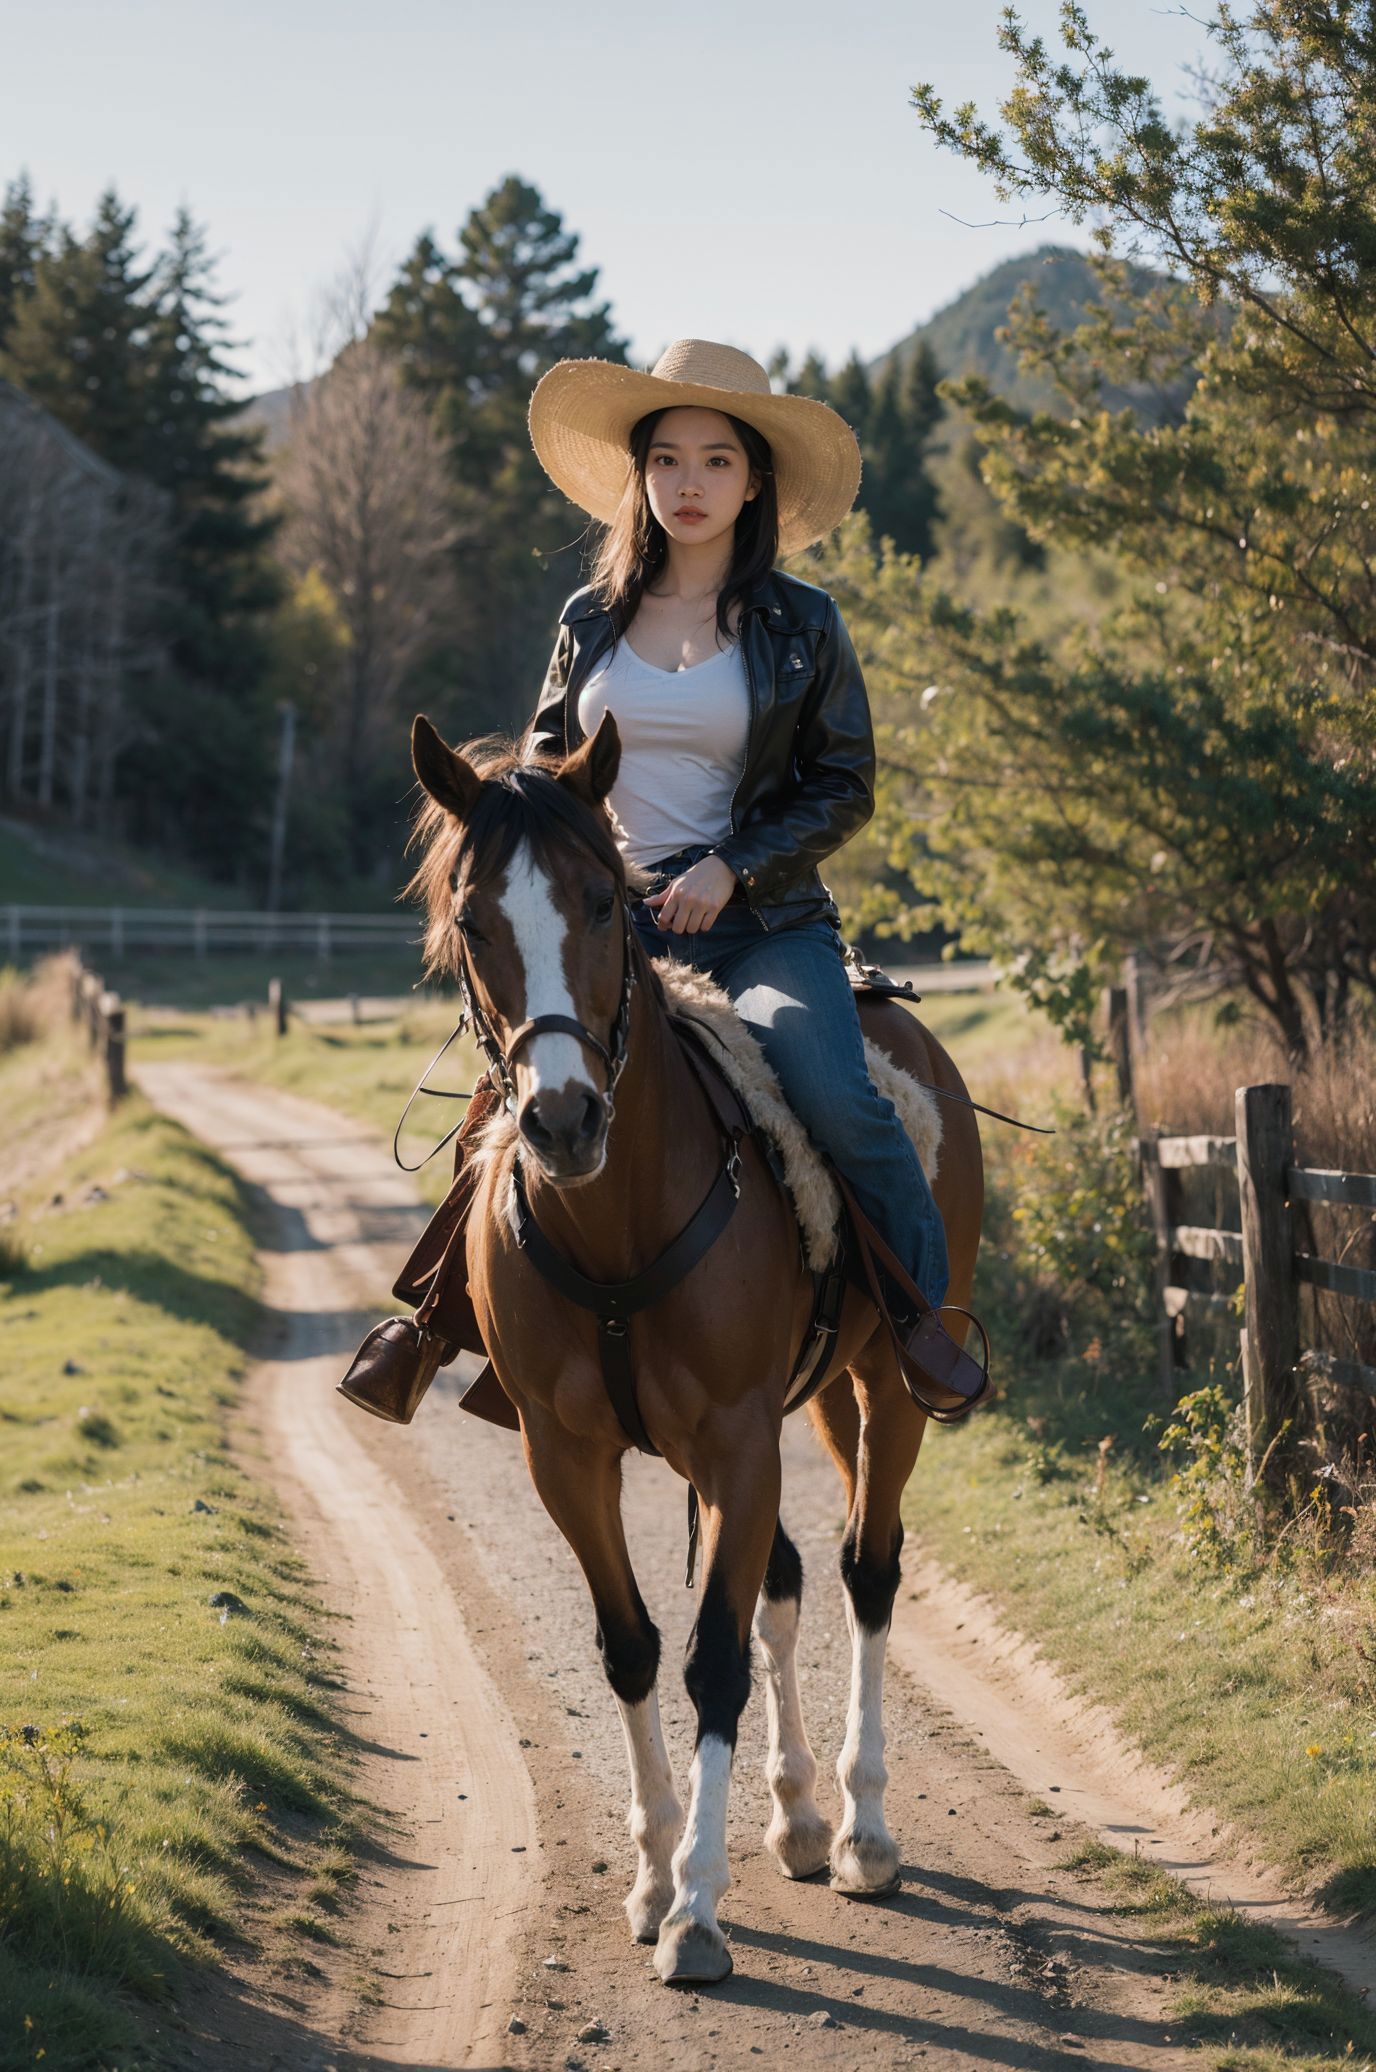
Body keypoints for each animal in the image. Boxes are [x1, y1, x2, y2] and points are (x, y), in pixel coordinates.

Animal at [410, 716, 990, 1989]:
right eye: (473, 920)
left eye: (600, 901)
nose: (561, 1120)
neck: (616, 1218)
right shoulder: (569, 1457)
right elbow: (631, 1647)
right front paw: (652, 1872)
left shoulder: (731, 1440)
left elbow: (711, 1659)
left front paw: (695, 1911)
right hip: (790, 1413)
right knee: (784, 1577)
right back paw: (798, 1812)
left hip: (883, 1386)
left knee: (865, 1569)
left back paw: (863, 1826)